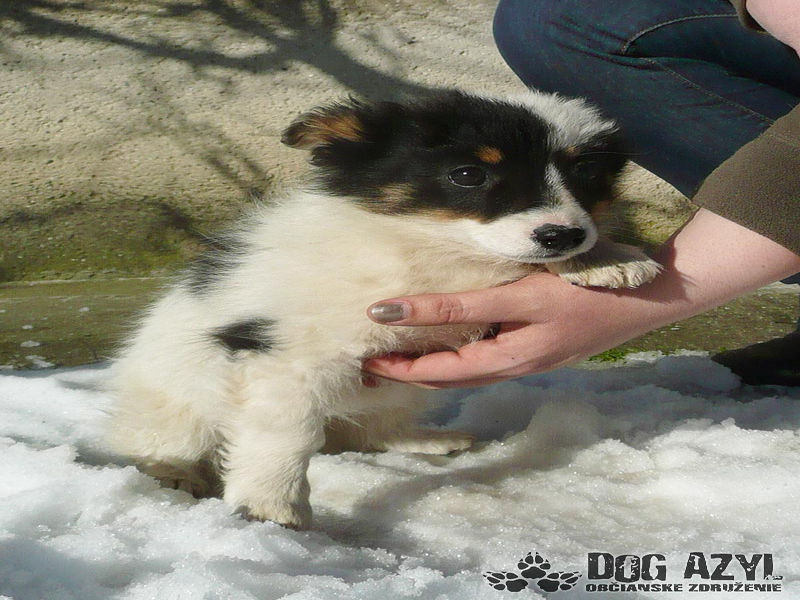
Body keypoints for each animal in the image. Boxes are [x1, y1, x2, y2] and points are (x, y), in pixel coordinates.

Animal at [106, 89, 661, 530]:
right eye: (468, 174)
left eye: (586, 174)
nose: (564, 235)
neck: (425, 245)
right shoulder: (285, 357)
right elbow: (285, 435)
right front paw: (271, 506)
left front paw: (603, 258)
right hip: (177, 402)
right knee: (166, 440)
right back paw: (174, 472)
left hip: (401, 396)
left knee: (371, 433)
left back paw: (426, 441)